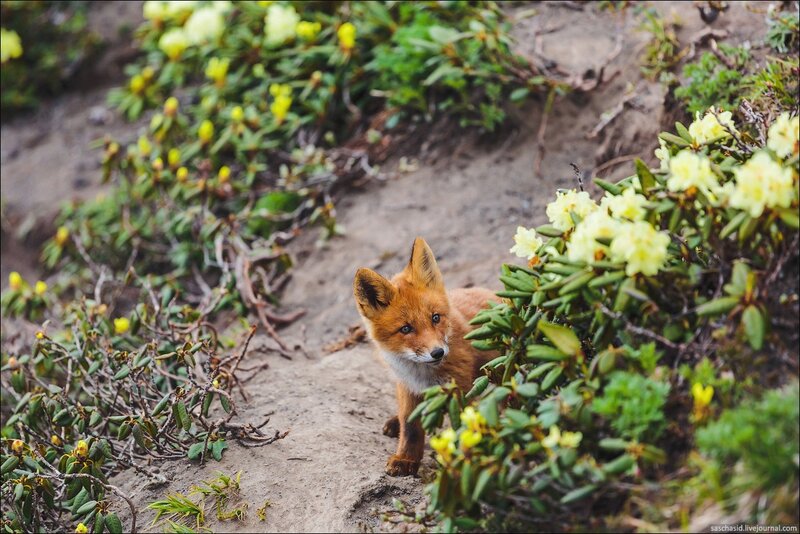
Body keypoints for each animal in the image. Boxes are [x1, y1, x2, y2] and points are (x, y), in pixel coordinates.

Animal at [353, 237, 499, 476]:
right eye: (406, 329)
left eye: (435, 317)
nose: (438, 352)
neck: (421, 374)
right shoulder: (407, 386)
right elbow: (410, 425)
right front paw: (406, 458)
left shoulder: (461, 389)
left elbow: (464, 427)